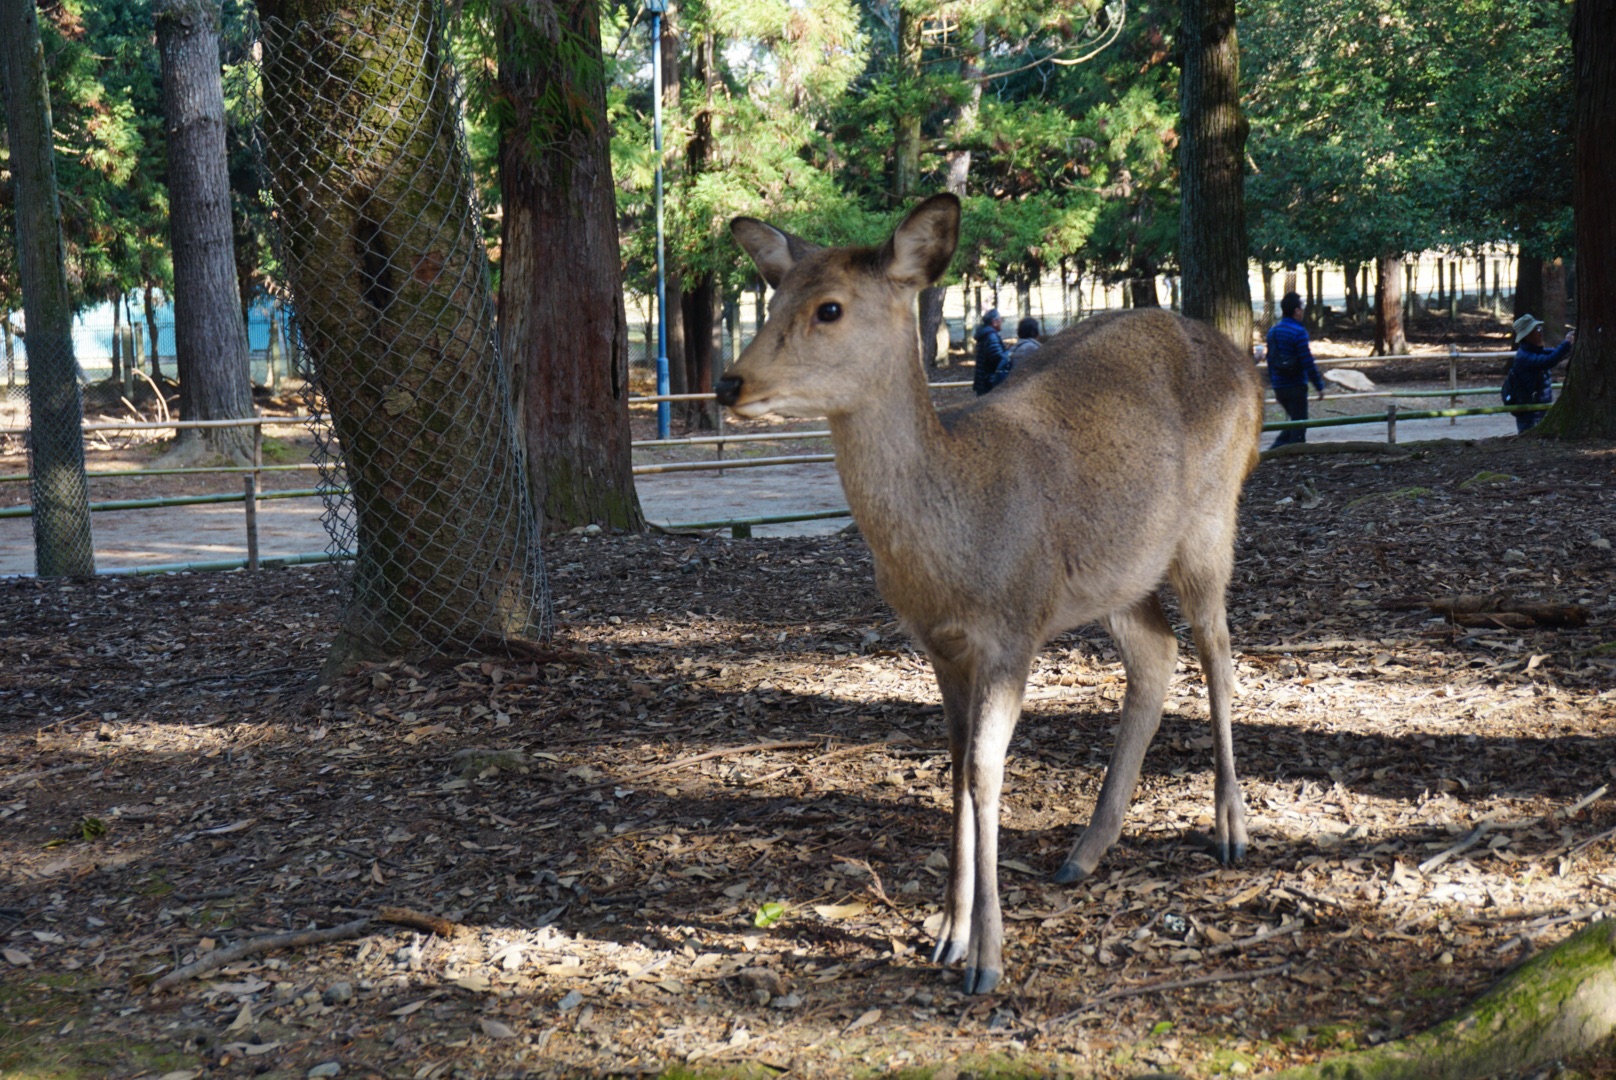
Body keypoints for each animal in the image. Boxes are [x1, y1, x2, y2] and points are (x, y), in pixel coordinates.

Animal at [717, 196, 1260, 995]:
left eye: (829, 307)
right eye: (773, 294)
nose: (731, 384)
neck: (955, 553)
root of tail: (1248, 369)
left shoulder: (1013, 625)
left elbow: (983, 768)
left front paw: (986, 957)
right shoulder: (939, 643)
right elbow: (954, 762)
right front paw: (946, 933)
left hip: (1210, 521)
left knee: (1219, 649)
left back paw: (1231, 830)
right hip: (1119, 573)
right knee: (1157, 654)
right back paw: (1084, 852)